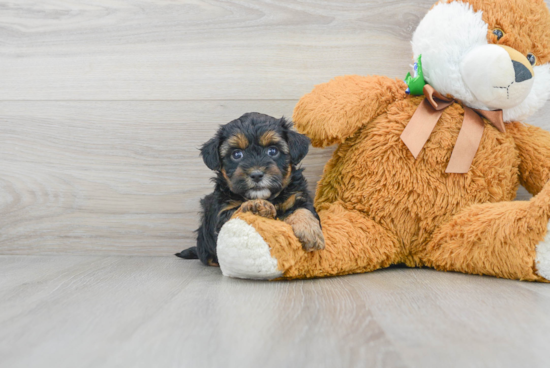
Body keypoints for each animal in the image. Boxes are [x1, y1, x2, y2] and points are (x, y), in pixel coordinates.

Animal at [176, 113, 324, 268]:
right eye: (236, 154)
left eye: (272, 151)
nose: (256, 175)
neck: (268, 197)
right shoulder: (221, 212)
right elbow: (236, 212)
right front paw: (256, 206)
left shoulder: (297, 195)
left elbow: (303, 210)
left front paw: (310, 231)